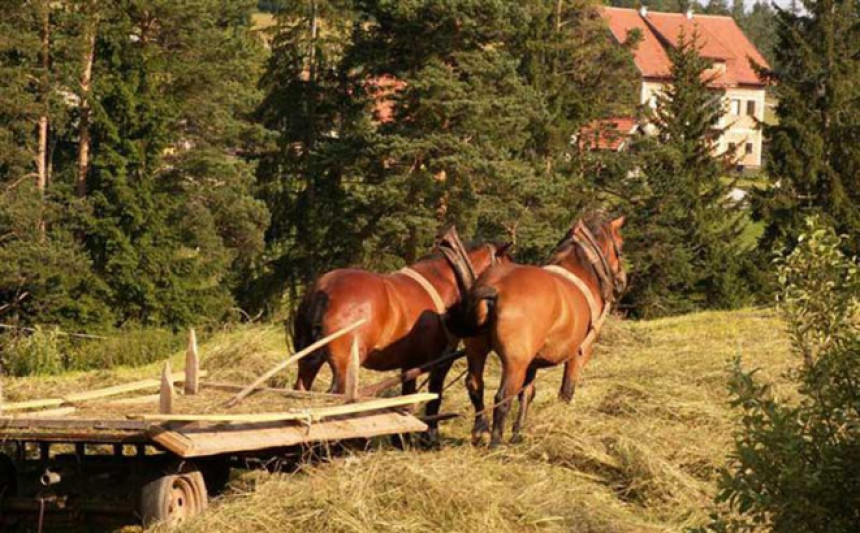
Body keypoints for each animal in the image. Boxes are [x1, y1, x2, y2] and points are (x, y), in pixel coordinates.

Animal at [294, 237, 510, 440]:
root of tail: (324, 290)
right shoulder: (441, 361)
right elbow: (435, 396)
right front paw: (430, 436)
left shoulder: (409, 364)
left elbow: (407, 398)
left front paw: (402, 437)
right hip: (345, 366)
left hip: (308, 359)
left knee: (301, 390)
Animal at [440, 210, 628, 446]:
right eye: (620, 245)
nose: (622, 280)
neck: (580, 270)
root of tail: (495, 287)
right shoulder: (579, 354)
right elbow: (566, 392)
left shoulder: (533, 362)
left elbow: (527, 392)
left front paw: (518, 433)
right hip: (515, 362)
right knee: (502, 397)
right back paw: (495, 442)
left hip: (477, 350)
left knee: (476, 385)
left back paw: (480, 431)